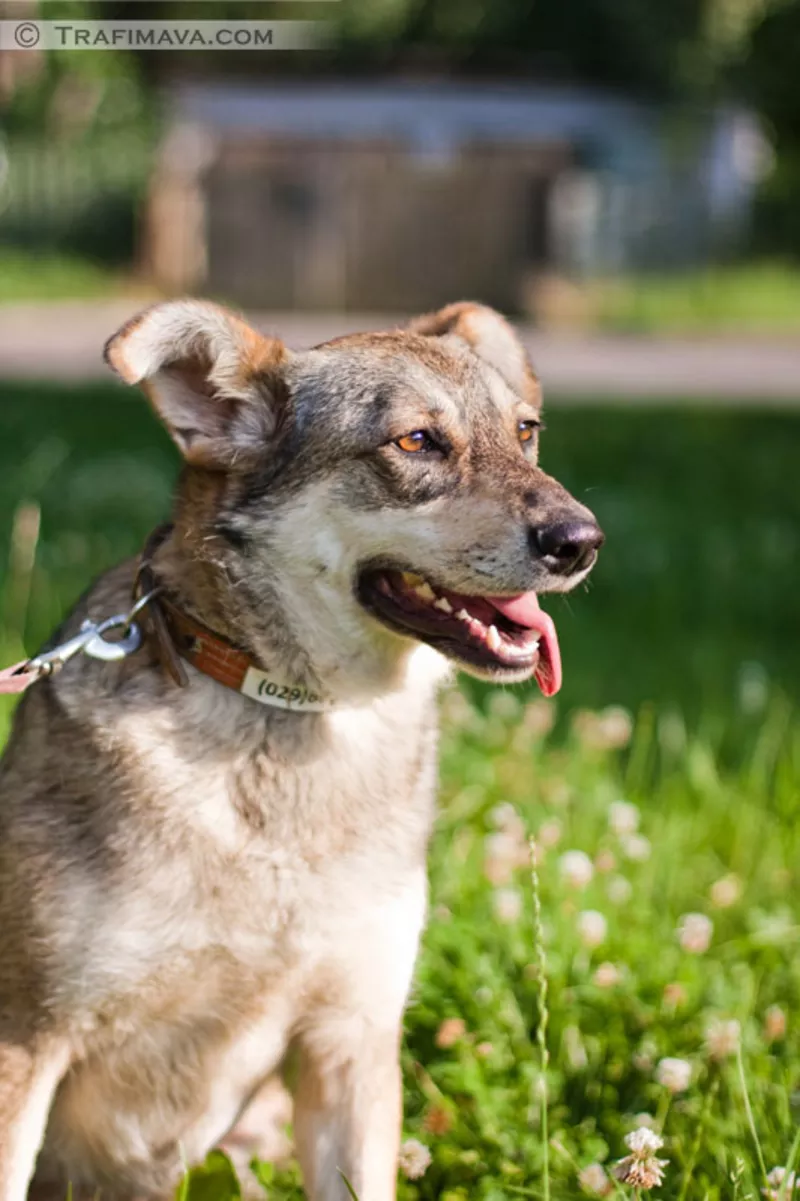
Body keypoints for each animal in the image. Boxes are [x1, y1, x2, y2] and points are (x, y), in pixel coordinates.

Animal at [0, 300, 600, 1201]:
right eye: (416, 441)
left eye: (526, 432)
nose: (582, 539)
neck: (289, 720)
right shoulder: (27, 1041)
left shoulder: (349, 1042)